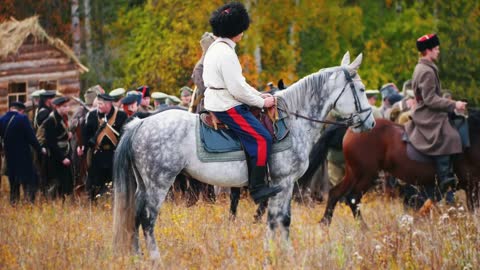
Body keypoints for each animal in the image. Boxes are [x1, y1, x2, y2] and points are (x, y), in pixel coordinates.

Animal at [113, 52, 376, 258]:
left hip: (144, 184)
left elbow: (276, 218)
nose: (371, 123)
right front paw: (284, 253)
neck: (292, 120)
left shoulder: (281, 185)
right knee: (147, 219)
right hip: (159, 183)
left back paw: (137, 256)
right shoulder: (284, 182)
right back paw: (155, 258)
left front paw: (273, 251)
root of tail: (140, 124)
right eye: (362, 89)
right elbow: (281, 219)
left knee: (135, 216)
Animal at [318, 112, 480, 226]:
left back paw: (325, 225)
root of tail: (352, 129)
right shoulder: (472, 185)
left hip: (353, 173)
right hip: (366, 174)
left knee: (335, 193)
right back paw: (364, 229)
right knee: (352, 197)